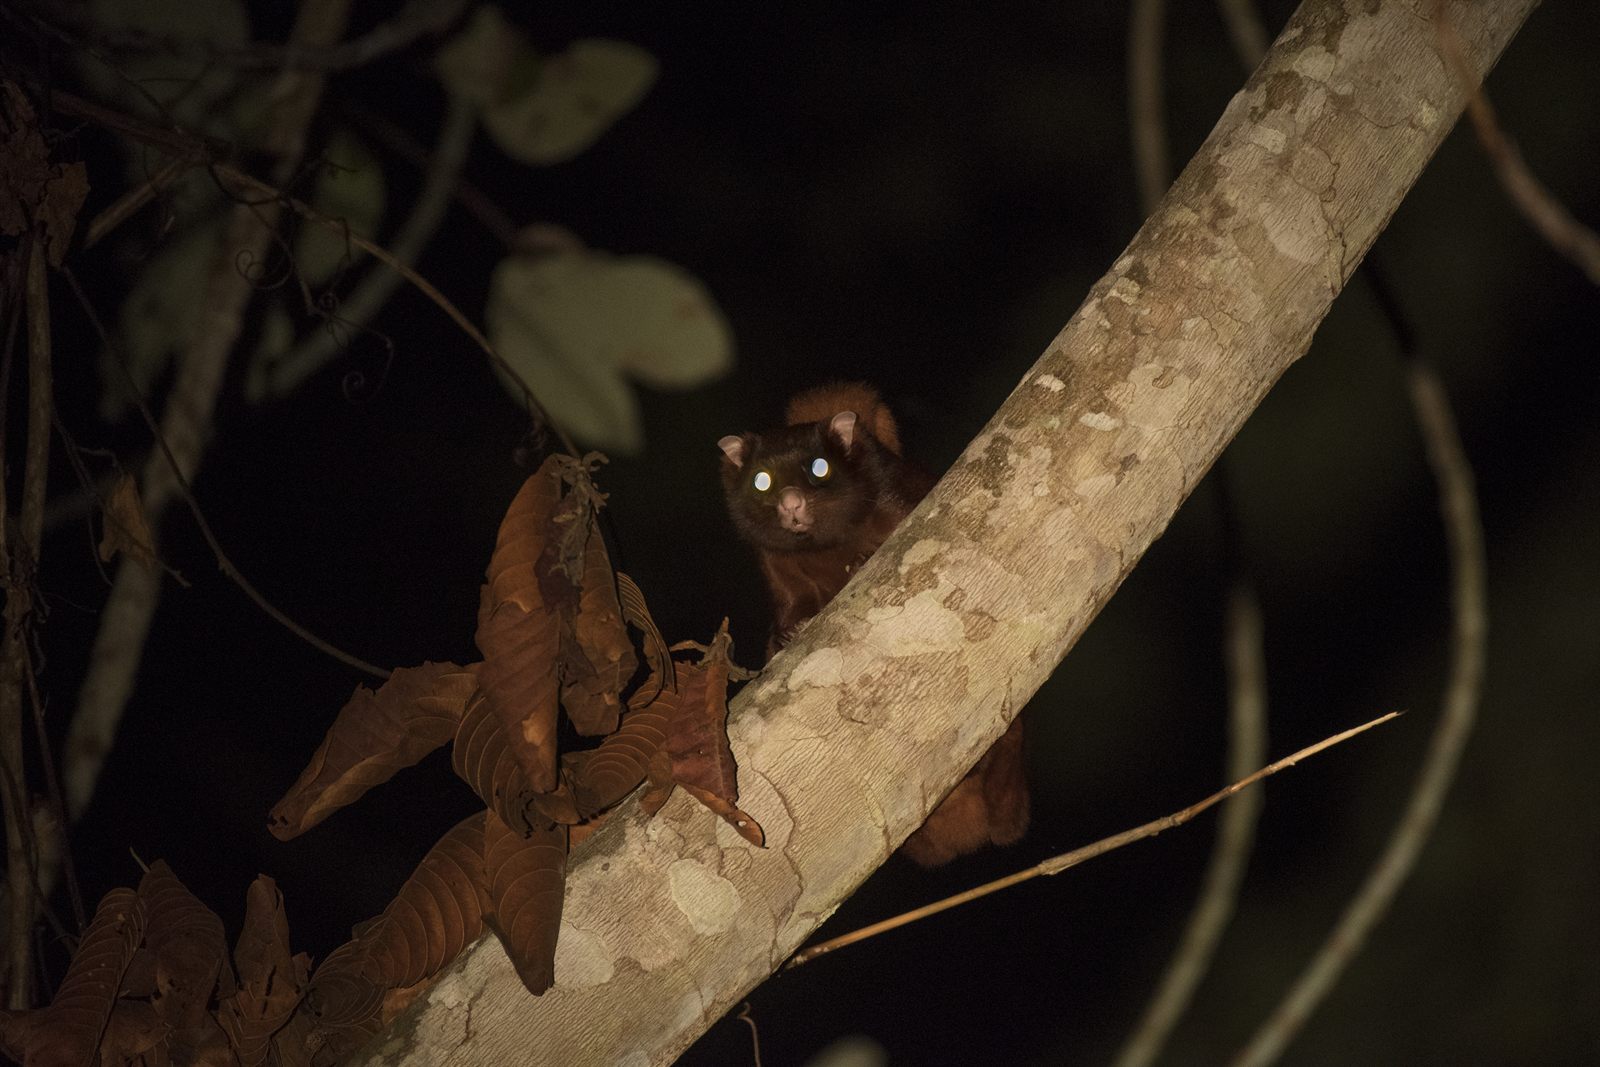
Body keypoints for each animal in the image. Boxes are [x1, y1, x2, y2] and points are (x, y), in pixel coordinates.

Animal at [718, 382, 1028, 866]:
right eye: (761, 481)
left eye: (819, 468)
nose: (791, 502)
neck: (823, 547)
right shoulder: (777, 564)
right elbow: (790, 603)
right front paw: (790, 631)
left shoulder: (894, 498)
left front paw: (862, 561)